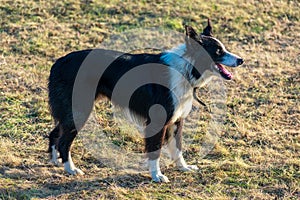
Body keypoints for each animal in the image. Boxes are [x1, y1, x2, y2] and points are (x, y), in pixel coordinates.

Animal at [47, 19, 244, 183]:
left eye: (224, 48)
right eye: (218, 51)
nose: (241, 60)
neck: (186, 68)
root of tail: (59, 61)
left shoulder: (177, 120)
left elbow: (178, 148)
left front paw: (184, 167)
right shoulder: (157, 121)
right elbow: (155, 150)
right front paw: (157, 175)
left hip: (70, 112)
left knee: (54, 133)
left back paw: (56, 161)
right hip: (79, 110)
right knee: (64, 141)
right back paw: (71, 169)